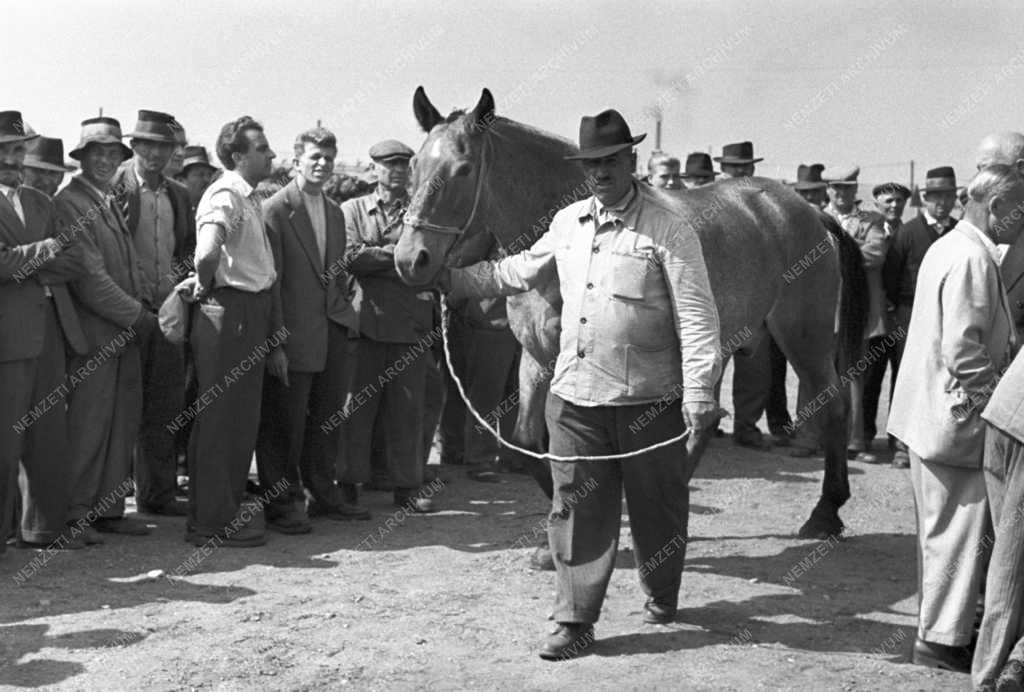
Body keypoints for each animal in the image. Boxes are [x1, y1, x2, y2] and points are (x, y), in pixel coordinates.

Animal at [395, 88, 868, 540]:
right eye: (414, 165)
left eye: (464, 169)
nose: (411, 260)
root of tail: (808, 211)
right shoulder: (536, 355)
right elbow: (528, 440)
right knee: (705, 419)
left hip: (803, 336)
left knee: (834, 406)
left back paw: (825, 515)